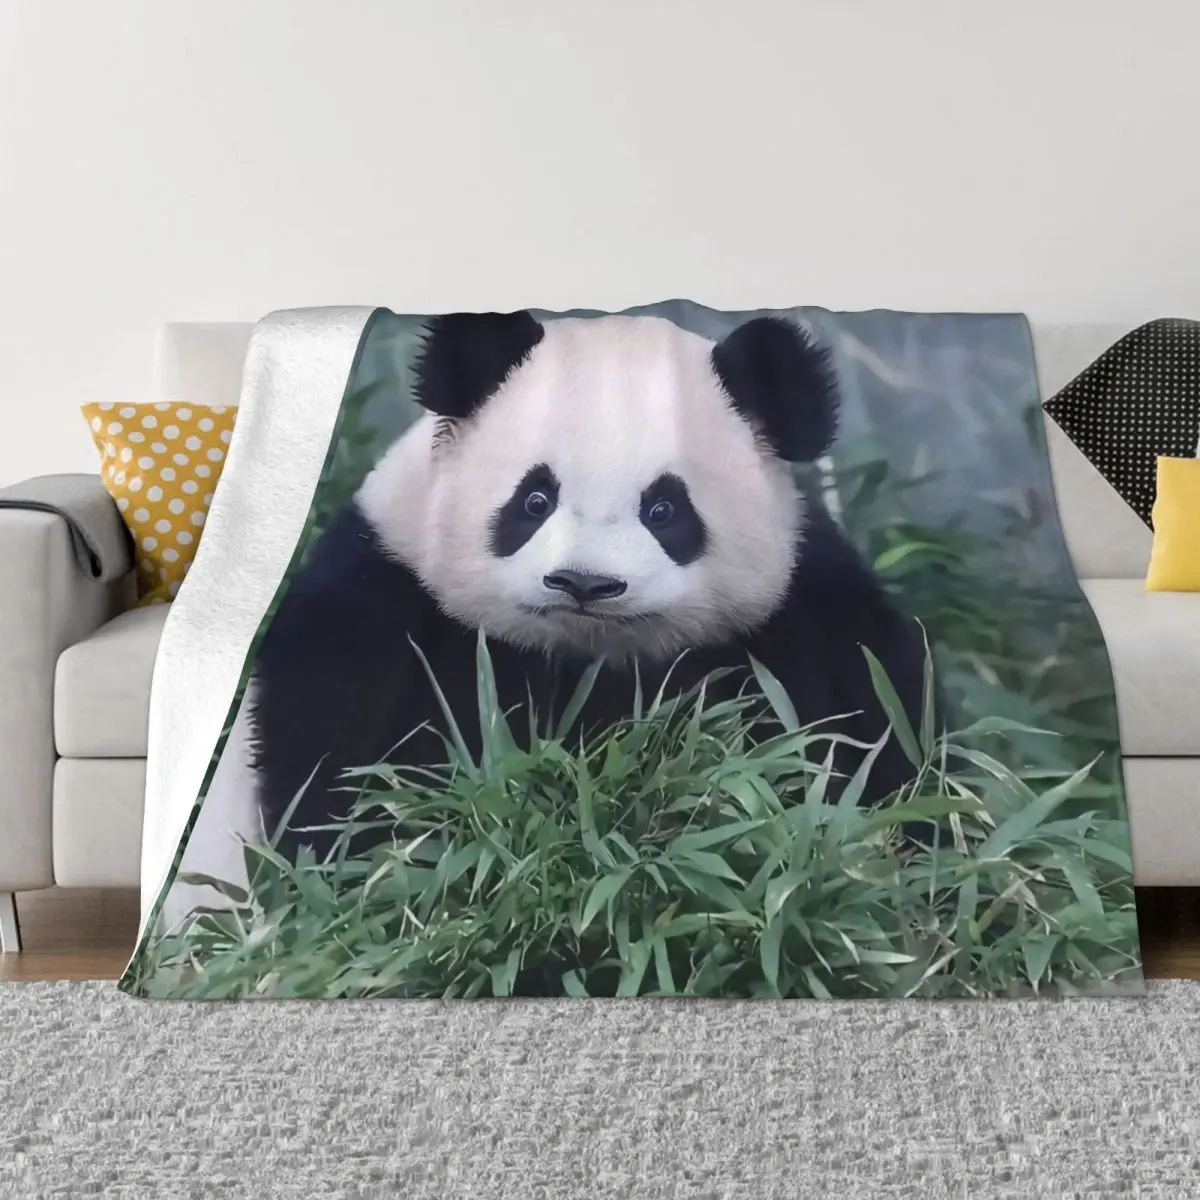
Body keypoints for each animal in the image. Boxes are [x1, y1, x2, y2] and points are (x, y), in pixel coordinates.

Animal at [179, 310, 931, 908]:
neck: (586, 656)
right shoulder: (382, 595)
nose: (584, 584)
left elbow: (871, 744)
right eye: (535, 500)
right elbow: (341, 778)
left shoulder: (800, 615)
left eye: (665, 510)